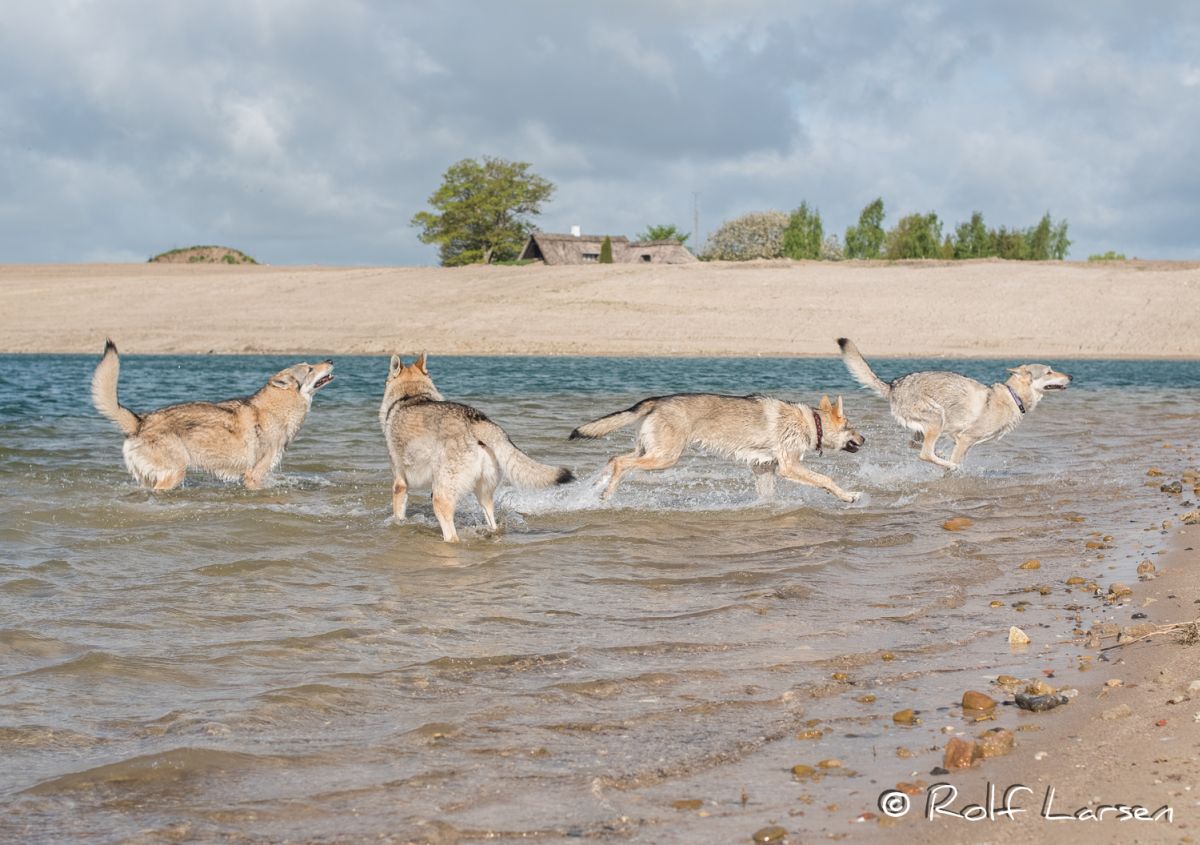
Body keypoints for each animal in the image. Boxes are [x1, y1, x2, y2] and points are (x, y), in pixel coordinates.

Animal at [89, 340, 336, 492]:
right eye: (309, 369)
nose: (331, 360)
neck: (276, 410)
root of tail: (140, 421)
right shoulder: (254, 476)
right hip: (175, 473)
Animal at [381, 355, 573, 542]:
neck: (410, 395)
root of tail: (477, 419)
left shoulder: (400, 483)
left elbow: (398, 516)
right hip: (483, 496)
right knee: (493, 525)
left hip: (441, 498)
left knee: (452, 536)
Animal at [568, 391, 864, 501]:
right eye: (853, 428)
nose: (865, 440)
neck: (811, 422)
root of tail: (658, 400)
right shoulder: (788, 467)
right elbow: (826, 480)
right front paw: (848, 496)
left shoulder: (764, 468)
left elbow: (767, 497)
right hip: (664, 459)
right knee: (619, 463)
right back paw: (606, 495)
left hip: (649, 451)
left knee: (612, 460)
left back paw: (593, 488)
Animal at [840, 336, 1075, 468]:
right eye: (1049, 371)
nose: (1072, 377)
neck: (1012, 397)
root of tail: (894, 384)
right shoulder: (965, 439)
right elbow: (956, 462)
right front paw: (952, 472)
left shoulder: (959, 438)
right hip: (936, 420)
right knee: (925, 454)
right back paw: (947, 464)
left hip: (928, 427)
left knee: (916, 445)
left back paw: (942, 455)